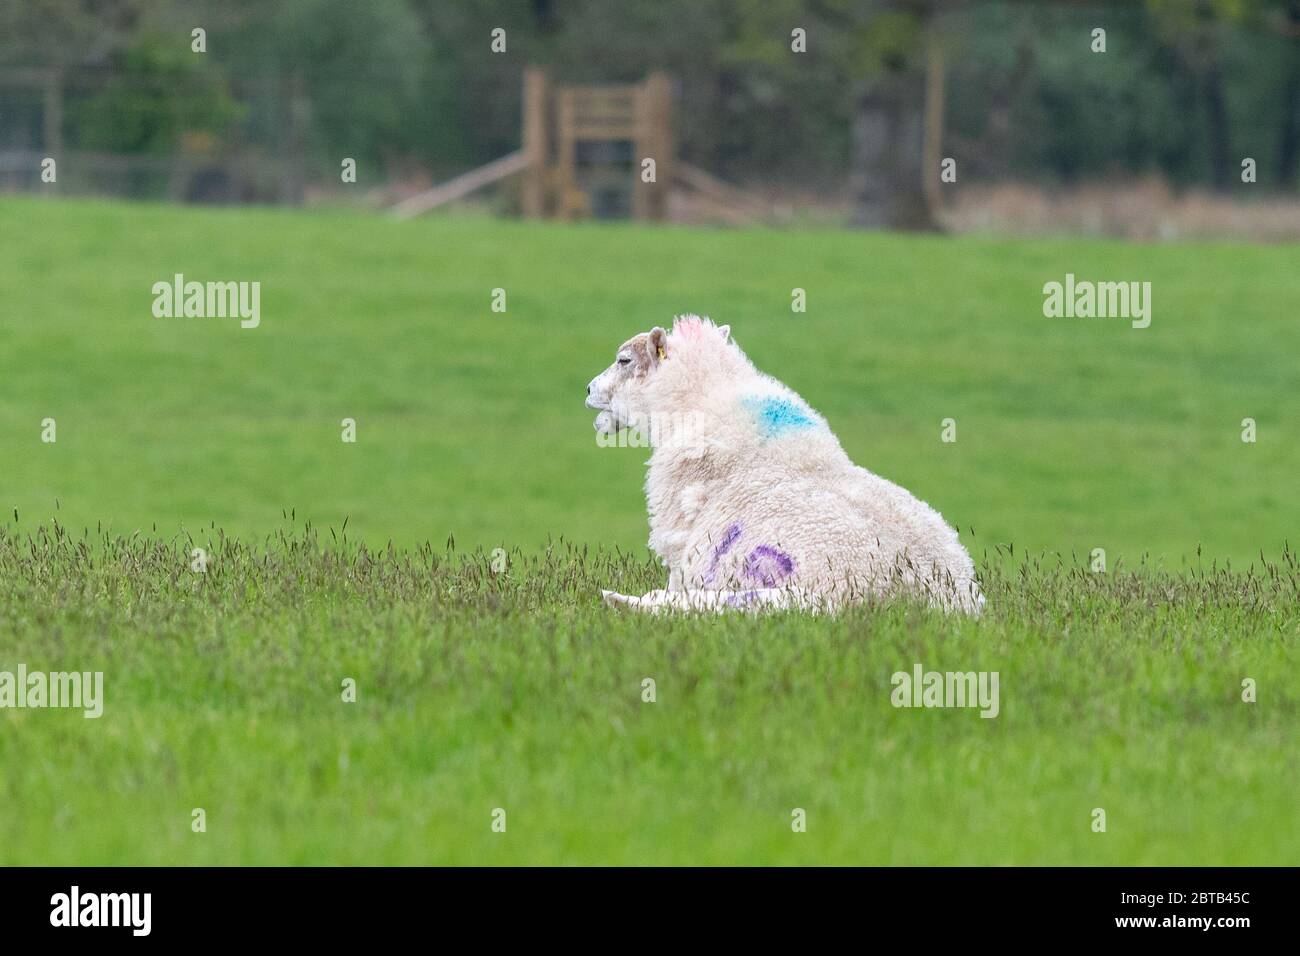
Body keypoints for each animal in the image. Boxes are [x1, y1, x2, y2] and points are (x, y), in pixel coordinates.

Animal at [585, 314, 977, 613]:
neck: (696, 402)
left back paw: (621, 600)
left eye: (624, 361)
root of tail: (927, 596)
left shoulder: (683, 540)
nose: (588, 389)